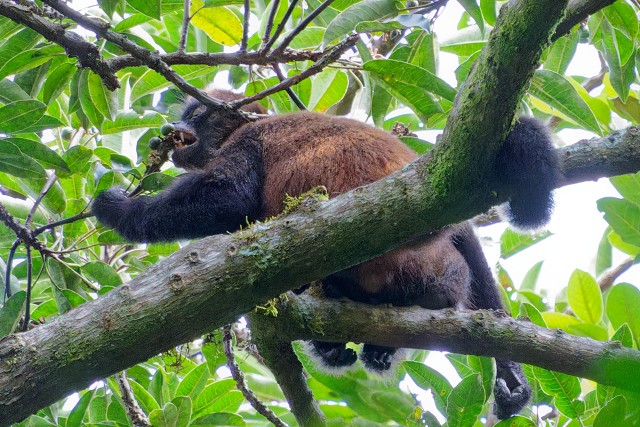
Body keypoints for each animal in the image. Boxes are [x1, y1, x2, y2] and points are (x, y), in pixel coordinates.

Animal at [92, 89, 559, 419]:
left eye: (194, 116)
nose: (173, 126)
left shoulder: (249, 139)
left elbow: (229, 198)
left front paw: (120, 211)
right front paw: (511, 375)